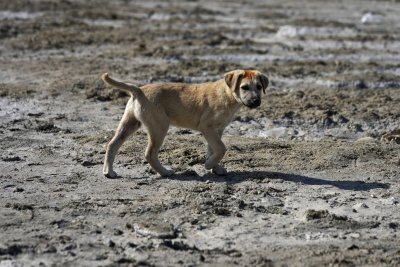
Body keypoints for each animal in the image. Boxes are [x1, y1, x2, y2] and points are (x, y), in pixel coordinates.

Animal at [101, 70, 268, 178]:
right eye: (244, 87)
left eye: (259, 87)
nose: (256, 101)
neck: (228, 94)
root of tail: (139, 90)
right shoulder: (207, 128)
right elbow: (221, 148)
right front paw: (209, 165)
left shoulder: (217, 130)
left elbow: (213, 149)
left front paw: (215, 167)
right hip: (159, 127)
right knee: (150, 153)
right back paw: (165, 172)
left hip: (130, 123)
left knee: (112, 144)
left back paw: (109, 172)